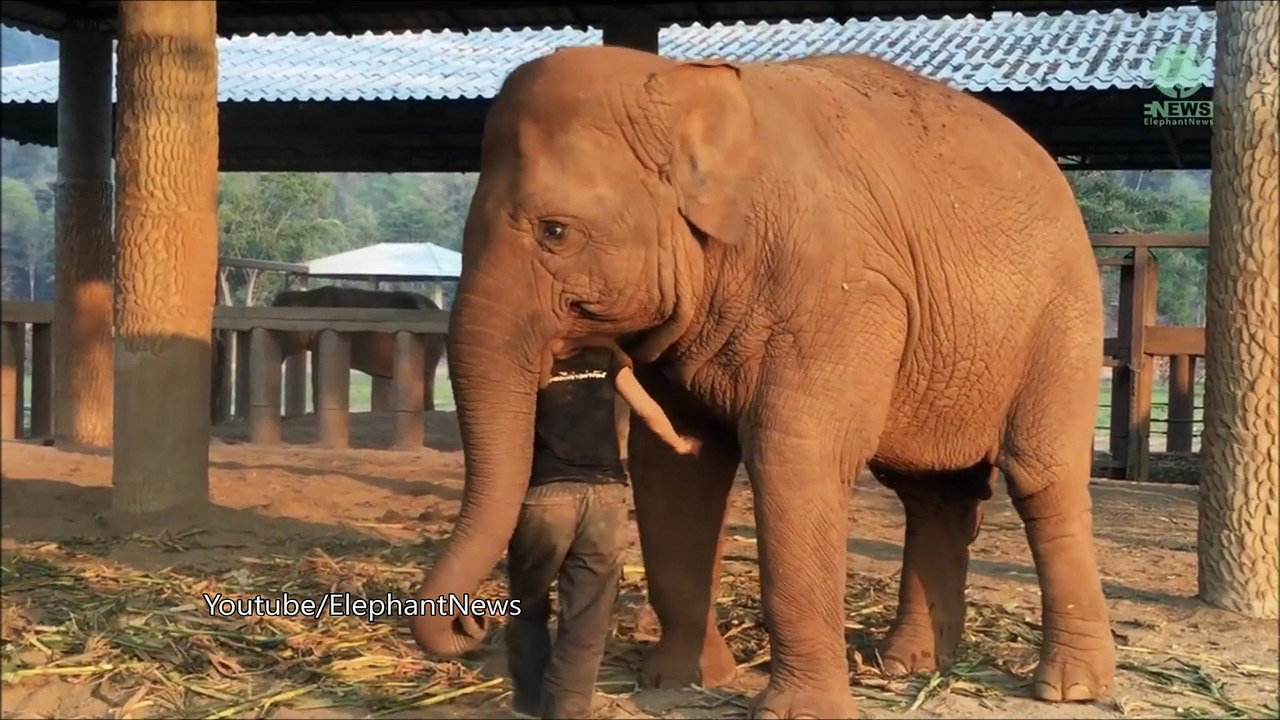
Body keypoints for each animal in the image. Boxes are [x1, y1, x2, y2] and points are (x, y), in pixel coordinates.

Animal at [409, 46, 1116, 719]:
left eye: (555, 232)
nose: (470, 625)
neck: (681, 83)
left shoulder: (841, 293)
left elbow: (794, 453)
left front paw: (795, 712)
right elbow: (674, 462)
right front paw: (681, 681)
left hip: (1065, 323)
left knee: (1043, 478)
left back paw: (1070, 688)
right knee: (932, 494)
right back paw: (908, 665)